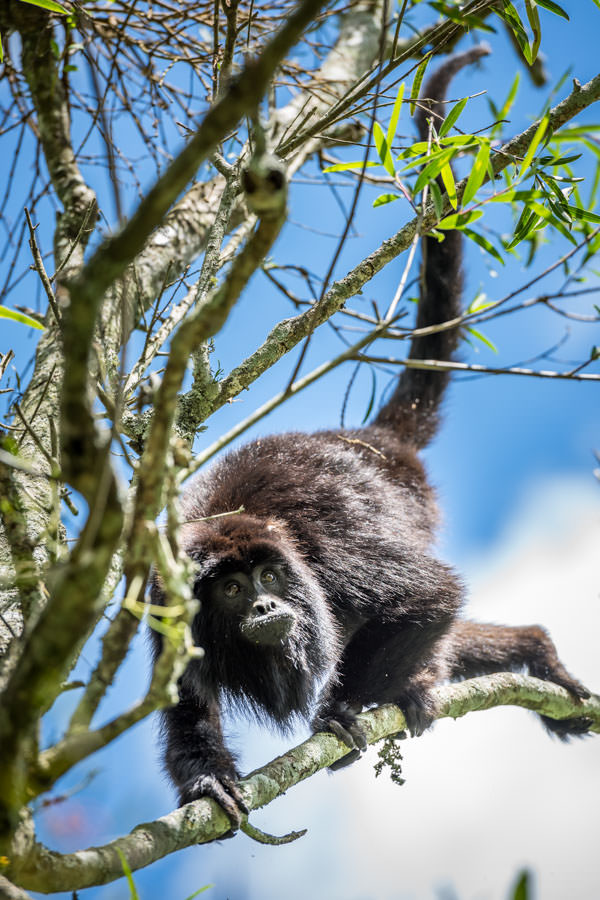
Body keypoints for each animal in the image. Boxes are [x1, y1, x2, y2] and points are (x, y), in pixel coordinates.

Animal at [150, 47, 592, 824]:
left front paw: (338, 710)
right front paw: (207, 779)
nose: (264, 605)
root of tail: (370, 441)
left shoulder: (331, 562)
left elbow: (431, 595)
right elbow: (183, 696)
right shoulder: (162, 599)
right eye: (231, 591)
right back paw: (531, 651)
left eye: (269, 578)